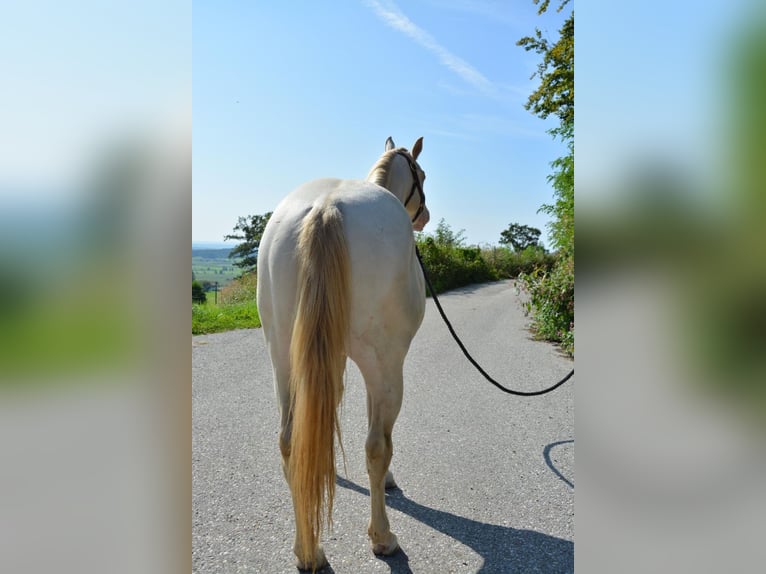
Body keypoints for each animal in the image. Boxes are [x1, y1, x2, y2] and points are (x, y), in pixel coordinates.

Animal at [258, 136, 432, 572]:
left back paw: (308, 551)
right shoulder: (380, 366)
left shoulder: (328, 358)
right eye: (421, 174)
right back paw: (383, 538)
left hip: (283, 359)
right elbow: (377, 437)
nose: (423, 217)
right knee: (377, 445)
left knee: (289, 439)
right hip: (384, 364)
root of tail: (326, 207)